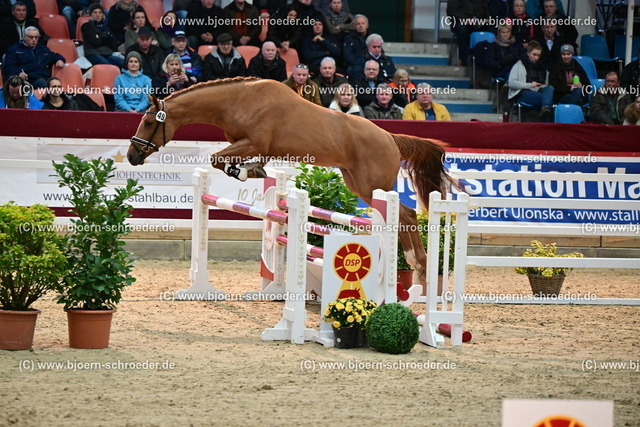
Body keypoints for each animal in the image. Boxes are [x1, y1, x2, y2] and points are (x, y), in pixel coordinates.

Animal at [127, 77, 452, 286]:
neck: (237, 100)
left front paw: (245, 172)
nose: (131, 156)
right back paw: (419, 267)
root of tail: (389, 137)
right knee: (406, 216)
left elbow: (218, 160)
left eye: (148, 122)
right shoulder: (247, 145)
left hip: (373, 186)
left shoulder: (252, 143)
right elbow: (223, 160)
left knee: (406, 215)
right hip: (357, 183)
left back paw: (418, 263)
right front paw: (253, 171)